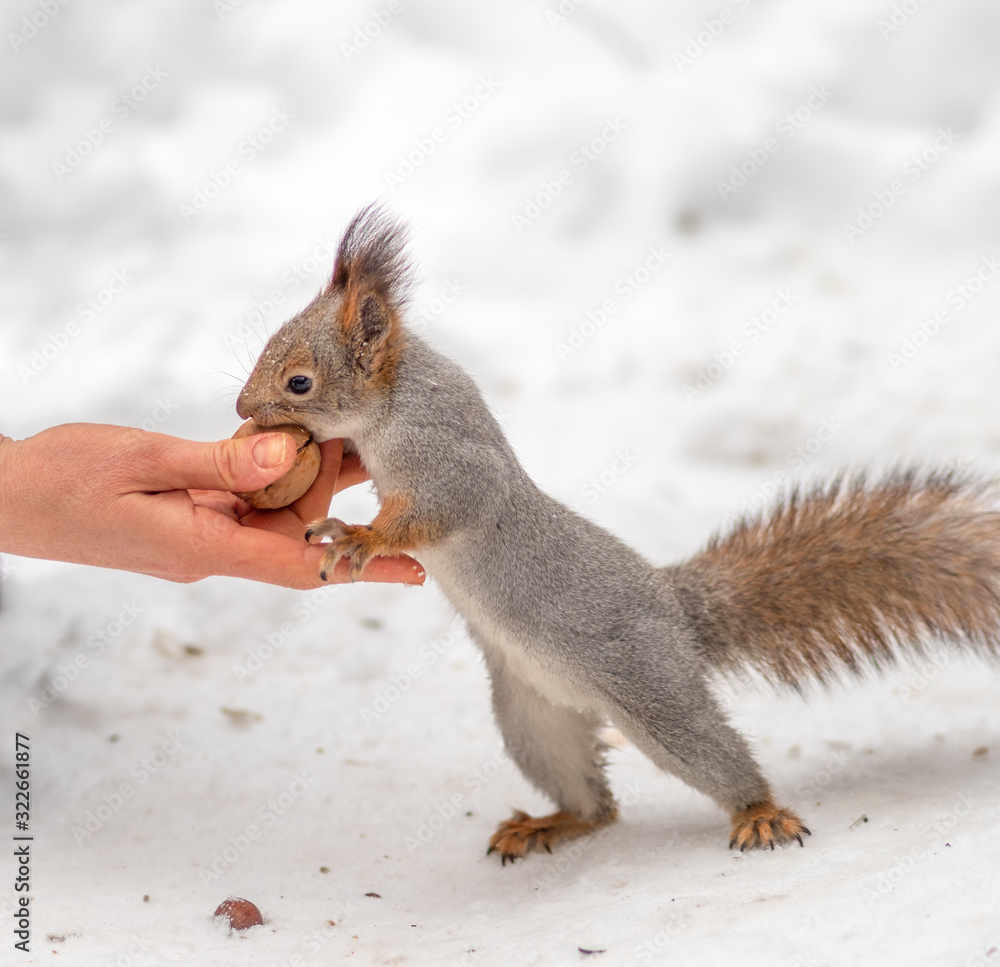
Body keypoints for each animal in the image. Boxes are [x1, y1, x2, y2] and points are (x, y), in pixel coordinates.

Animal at [236, 205, 1000, 863]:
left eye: (299, 382)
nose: (241, 408)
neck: (392, 403)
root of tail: (678, 609)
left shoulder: (449, 461)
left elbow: (438, 511)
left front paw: (359, 536)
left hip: (650, 688)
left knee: (707, 751)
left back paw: (760, 812)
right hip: (534, 718)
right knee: (598, 806)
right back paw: (553, 823)